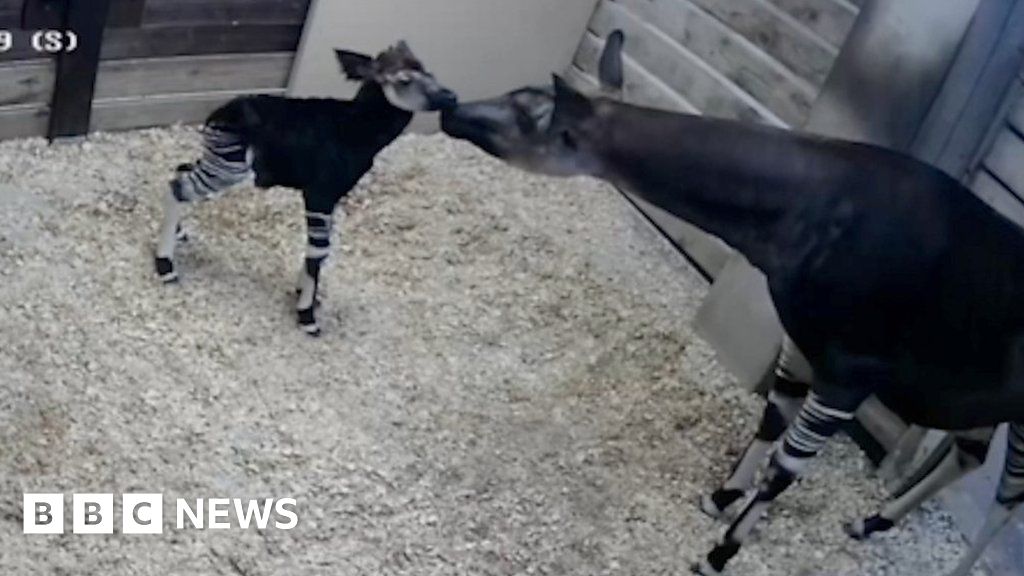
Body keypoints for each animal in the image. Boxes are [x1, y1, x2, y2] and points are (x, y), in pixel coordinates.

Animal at [154, 42, 456, 334]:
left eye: (428, 71)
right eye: (405, 80)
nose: (451, 97)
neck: (358, 130)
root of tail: (217, 116)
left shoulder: (331, 197)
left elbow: (321, 250)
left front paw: (304, 294)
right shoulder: (320, 193)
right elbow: (319, 249)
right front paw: (307, 316)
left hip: (221, 164)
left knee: (181, 172)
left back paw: (178, 236)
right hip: (229, 168)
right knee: (179, 187)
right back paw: (166, 267)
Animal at [444, 30, 1024, 573]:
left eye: (525, 115)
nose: (450, 106)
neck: (803, 213)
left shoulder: (849, 373)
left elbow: (785, 469)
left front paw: (719, 553)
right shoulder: (802, 346)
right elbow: (769, 423)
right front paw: (720, 497)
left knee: (1008, 498)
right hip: (984, 395)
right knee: (972, 454)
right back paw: (870, 522)